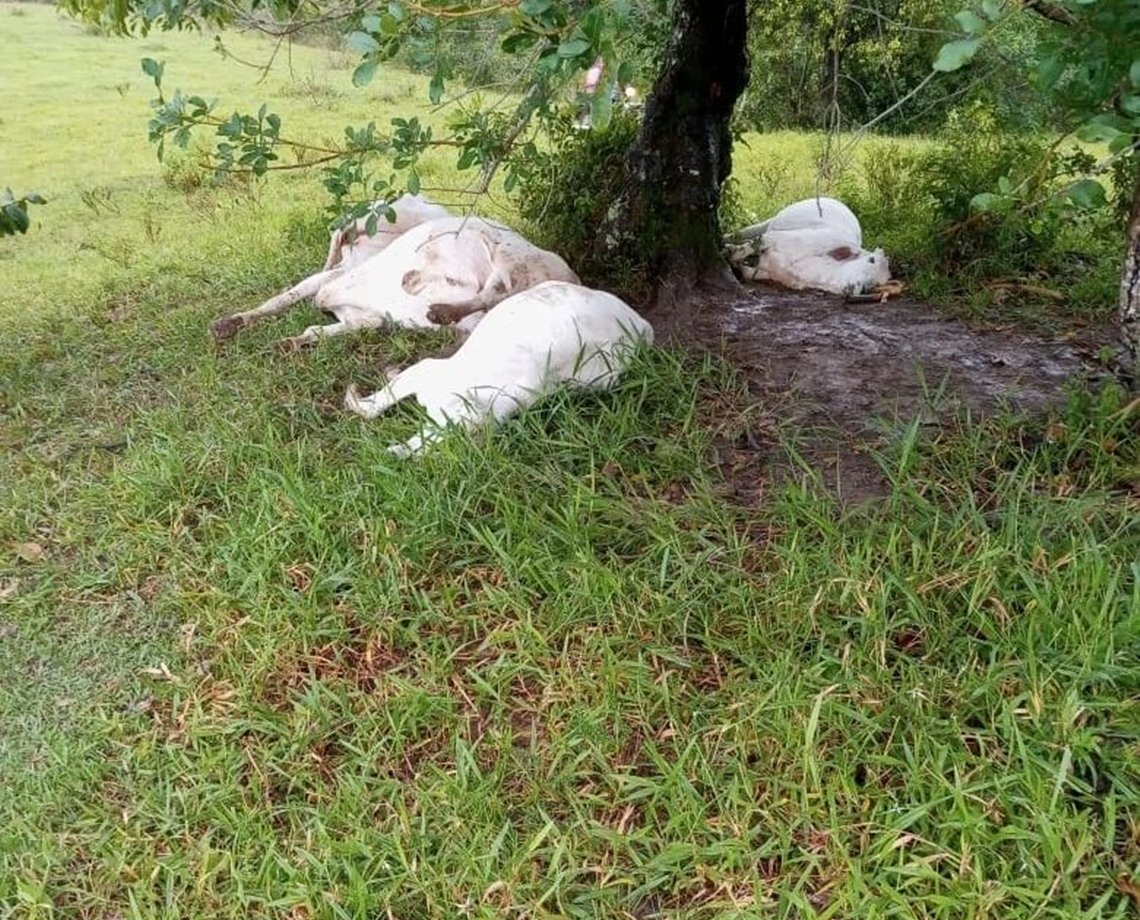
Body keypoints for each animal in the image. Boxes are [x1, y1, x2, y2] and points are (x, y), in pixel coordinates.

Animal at [212, 212, 579, 348]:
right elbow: (291, 301)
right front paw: (232, 323)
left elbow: (315, 299)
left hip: (510, 254)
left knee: (494, 289)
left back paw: (438, 306)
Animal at [725, 196, 893, 296]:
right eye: (871, 260)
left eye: (877, 284)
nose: (863, 289)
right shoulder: (775, 238)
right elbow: (747, 247)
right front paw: (729, 251)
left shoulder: (769, 271)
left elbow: (747, 272)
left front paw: (736, 265)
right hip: (778, 220)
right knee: (750, 230)